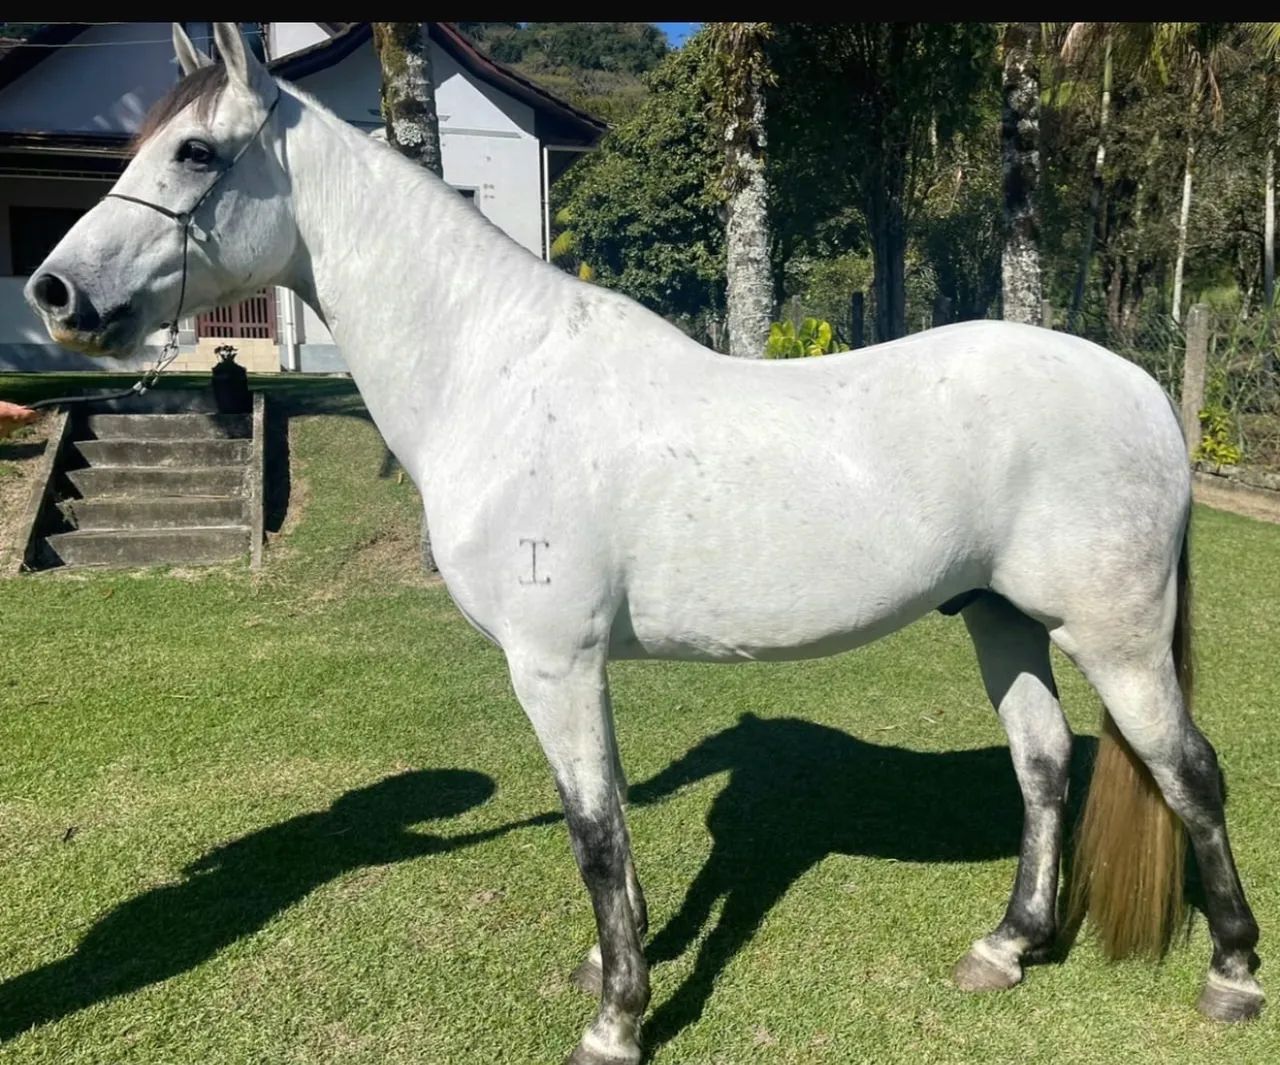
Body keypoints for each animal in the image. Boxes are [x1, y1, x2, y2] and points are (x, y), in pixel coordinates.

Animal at [23, 22, 1262, 1064]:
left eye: (194, 152)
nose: (55, 293)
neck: (498, 378)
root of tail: (1140, 389)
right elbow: (610, 823)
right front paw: (610, 968)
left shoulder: (553, 665)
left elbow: (595, 833)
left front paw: (617, 1020)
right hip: (999, 619)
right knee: (1045, 767)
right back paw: (1005, 947)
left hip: (1114, 635)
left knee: (1187, 772)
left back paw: (1232, 973)